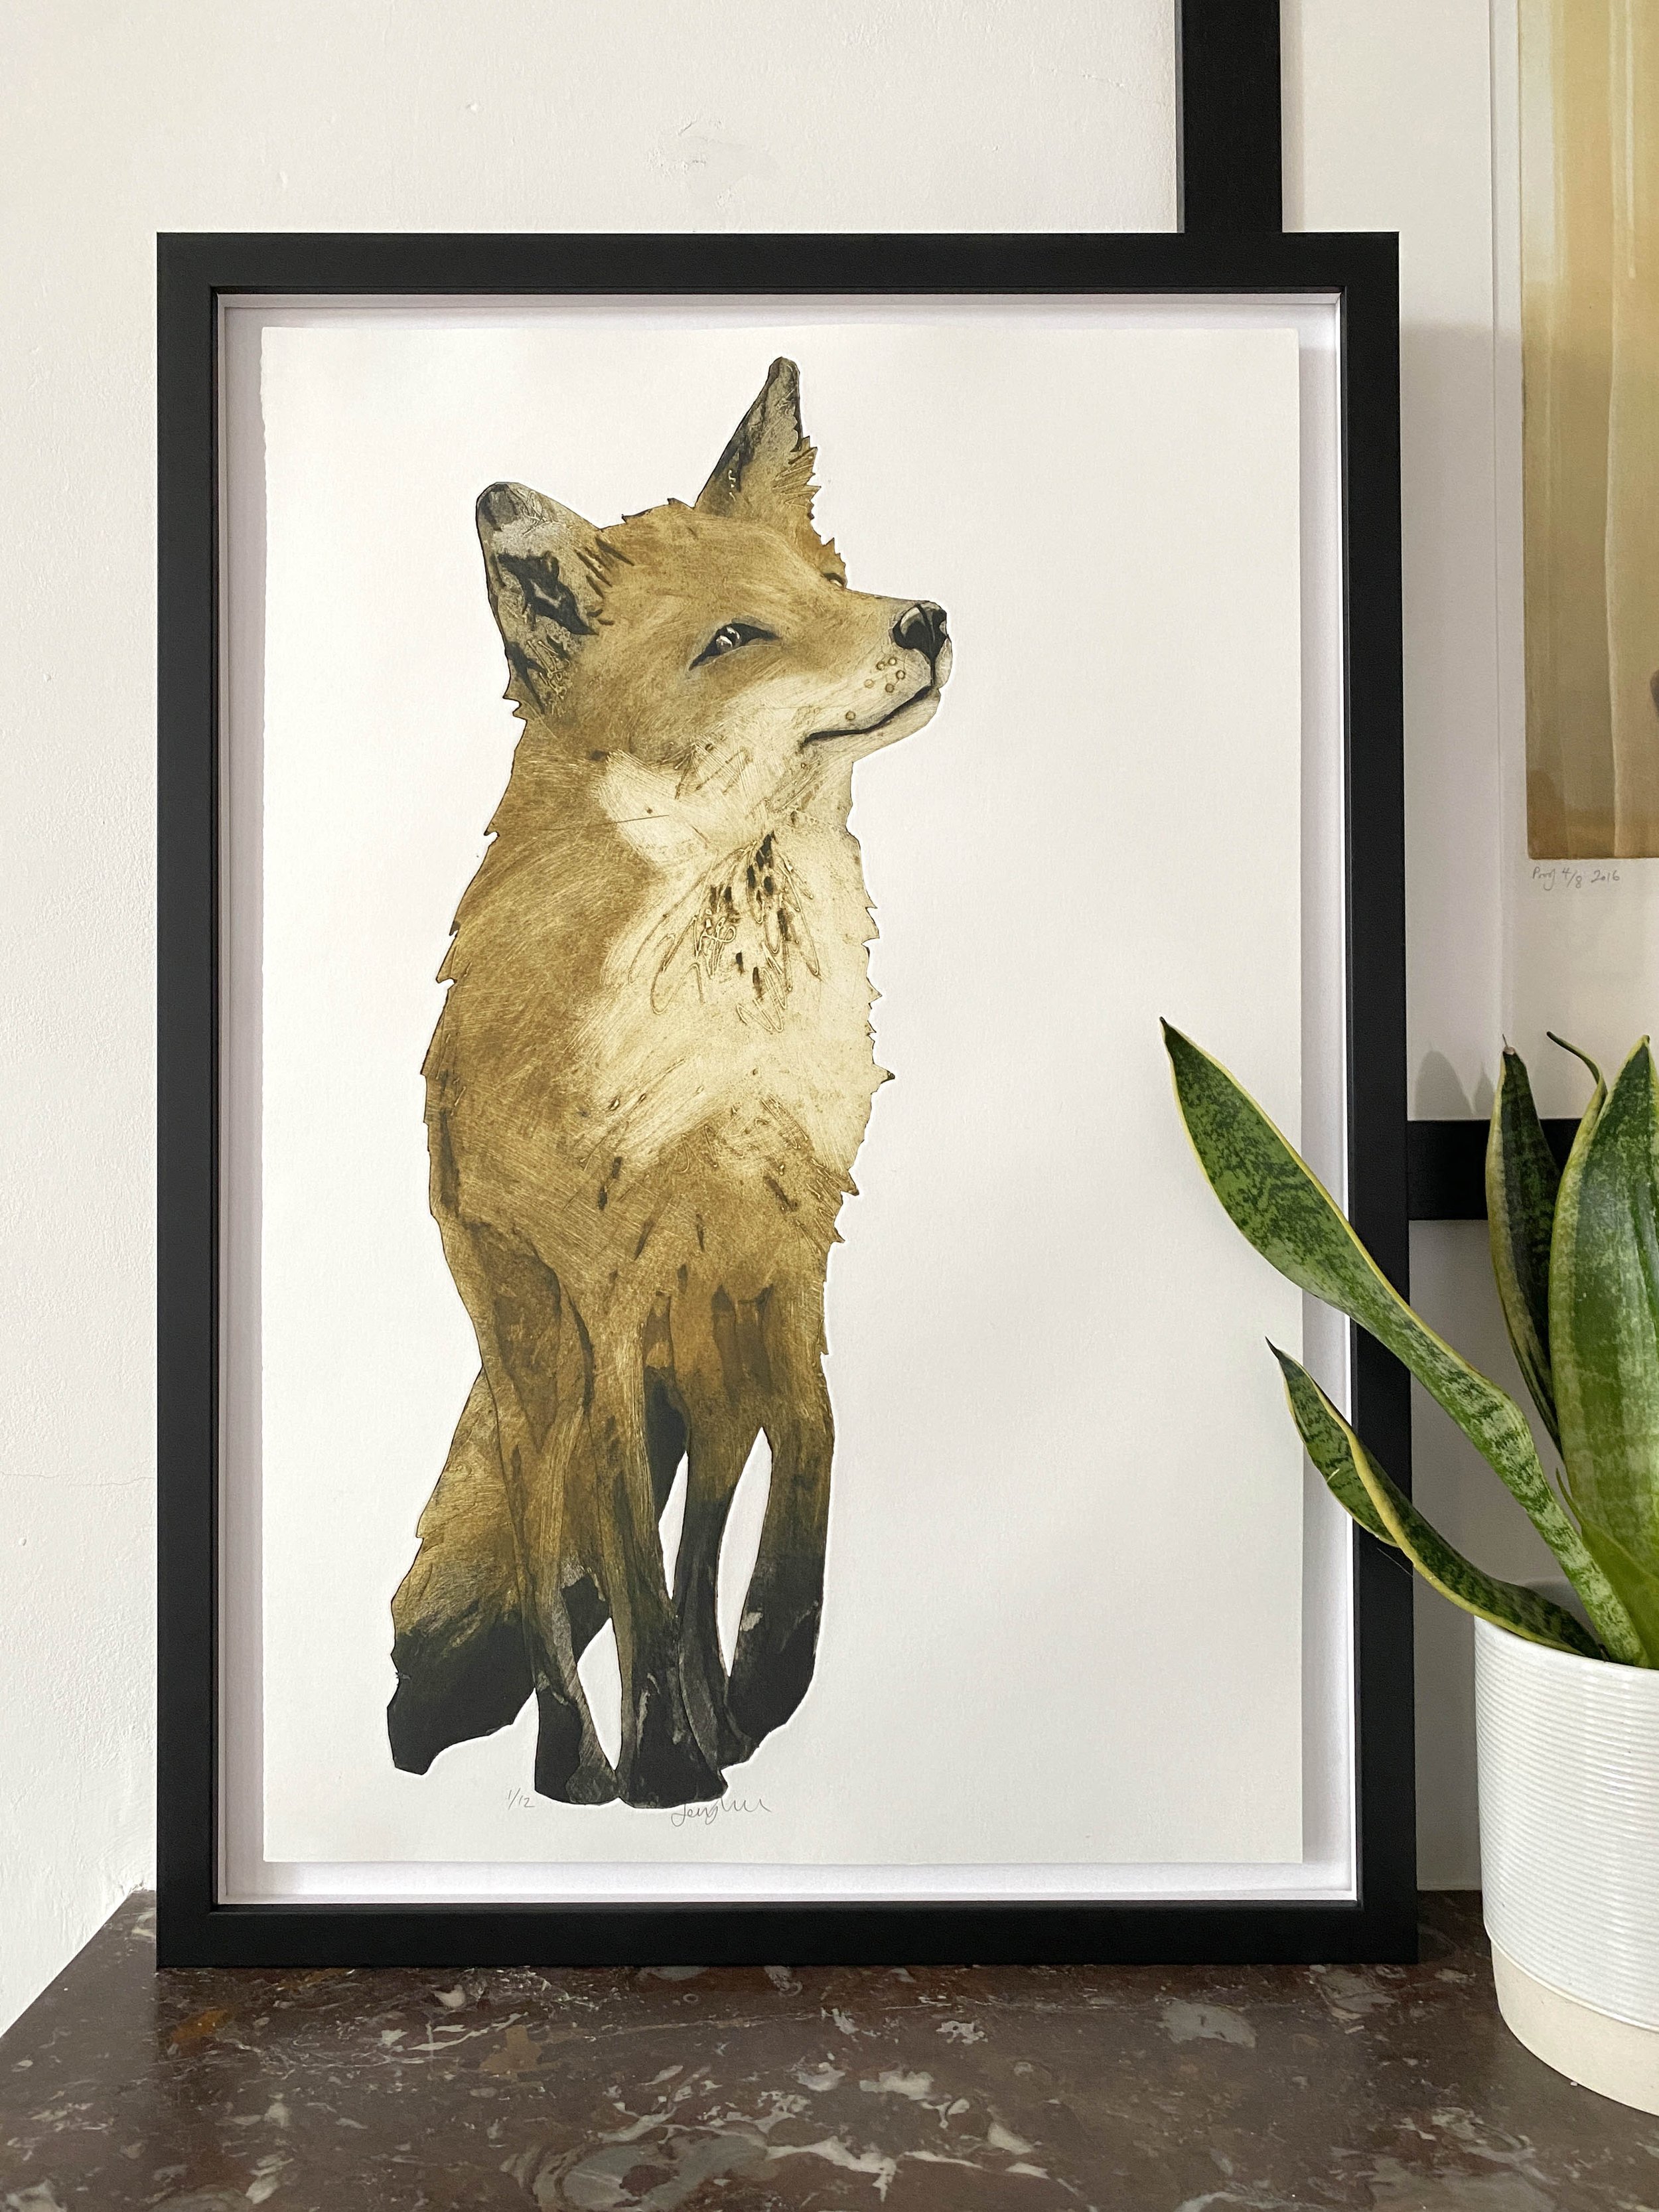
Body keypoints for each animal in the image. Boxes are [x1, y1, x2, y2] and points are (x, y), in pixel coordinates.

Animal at [386, 357, 951, 1809]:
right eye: (735, 637)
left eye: (831, 582)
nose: (925, 618)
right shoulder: (613, 1296)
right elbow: (623, 1567)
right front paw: (663, 1765)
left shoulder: (786, 1247)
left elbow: (809, 1459)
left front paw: (767, 1673)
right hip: (546, 1381)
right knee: (555, 1559)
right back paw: (582, 1763)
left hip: (703, 1374)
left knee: (698, 1527)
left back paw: (718, 1708)